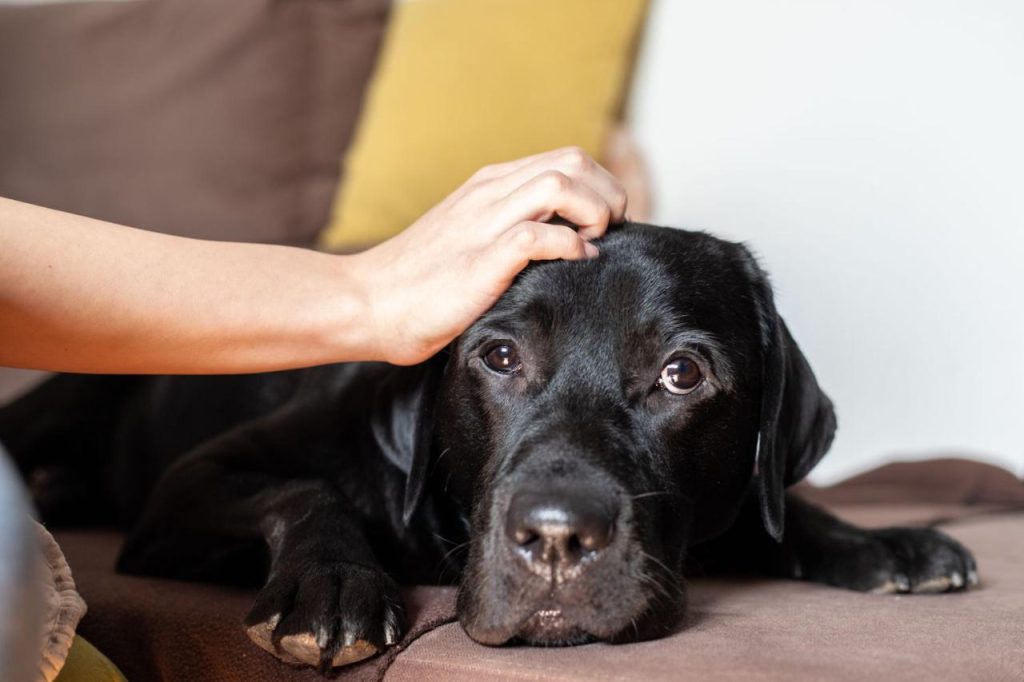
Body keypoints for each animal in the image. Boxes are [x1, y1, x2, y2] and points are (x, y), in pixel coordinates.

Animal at [0, 224, 974, 667]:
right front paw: (334, 586)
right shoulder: (190, 483)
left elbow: (774, 510)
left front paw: (882, 541)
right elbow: (305, 490)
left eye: (682, 374)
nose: (557, 539)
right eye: (499, 357)